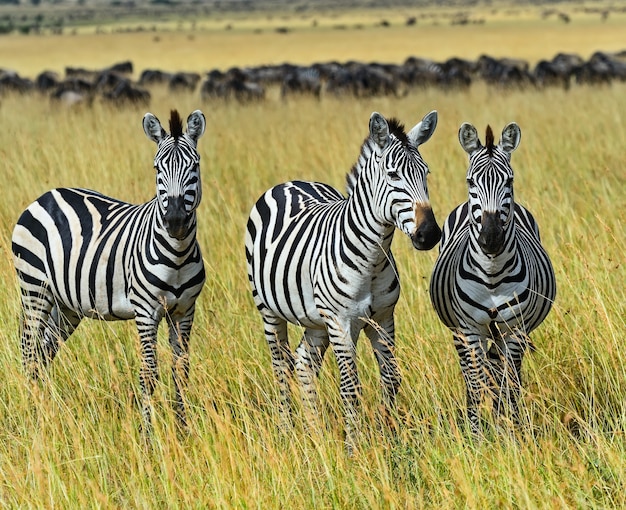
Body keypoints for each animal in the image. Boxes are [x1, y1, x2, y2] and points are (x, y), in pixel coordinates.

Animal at [11, 107, 207, 434]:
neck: (178, 254)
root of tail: (46, 195)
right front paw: (147, 436)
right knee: (28, 350)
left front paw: (183, 431)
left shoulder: (184, 311)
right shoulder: (146, 311)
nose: (176, 221)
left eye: (194, 166)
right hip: (34, 288)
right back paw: (30, 414)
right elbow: (148, 374)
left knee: (44, 352)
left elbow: (181, 371)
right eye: (157, 169)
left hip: (66, 306)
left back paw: (44, 412)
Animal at [244, 109, 438, 452]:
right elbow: (351, 386)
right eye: (392, 175)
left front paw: (388, 438)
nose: (429, 234)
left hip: (315, 321)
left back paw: (315, 434)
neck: (372, 260)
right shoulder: (340, 322)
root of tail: (290, 182)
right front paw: (353, 448)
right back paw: (286, 431)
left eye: (425, 173)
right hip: (269, 310)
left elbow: (391, 378)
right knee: (281, 366)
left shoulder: (383, 318)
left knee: (303, 363)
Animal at [426, 121, 552, 436]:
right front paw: (475, 435)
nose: (491, 238)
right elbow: (475, 383)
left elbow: (510, 383)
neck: (493, 274)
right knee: (474, 373)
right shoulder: (469, 329)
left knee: (500, 372)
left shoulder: (515, 329)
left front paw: (512, 431)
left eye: (510, 181)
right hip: (463, 332)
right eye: (471, 181)